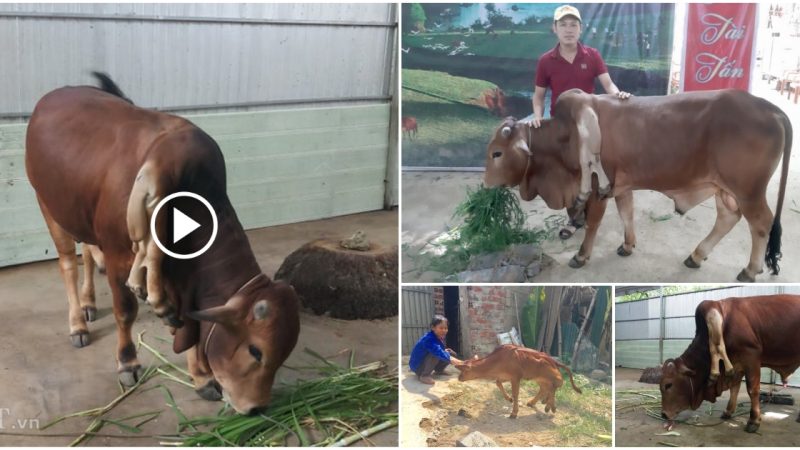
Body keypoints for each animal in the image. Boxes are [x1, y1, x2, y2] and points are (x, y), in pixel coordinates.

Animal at [26, 74, 300, 414]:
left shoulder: (182, 281)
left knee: (88, 254)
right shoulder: (118, 256)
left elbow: (187, 323)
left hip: (81, 215)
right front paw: (127, 362)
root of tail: (54, 95)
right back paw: (78, 323)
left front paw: (201, 377)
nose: (257, 408)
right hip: (49, 207)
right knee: (68, 265)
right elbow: (125, 311)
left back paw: (89, 303)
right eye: (256, 351)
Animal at [484, 88, 792, 282]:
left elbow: (593, 223)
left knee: (761, 224)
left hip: (749, 191)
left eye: (497, 153)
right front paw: (627, 245)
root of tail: (770, 108)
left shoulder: (598, 189)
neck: (566, 135)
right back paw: (696, 256)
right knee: (728, 217)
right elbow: (627, 213)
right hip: (725, 190)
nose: (486, 183)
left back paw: (750, 270)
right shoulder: (622, 186)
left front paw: (581, 256)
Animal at [640, 296, 800, 432]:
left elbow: (752, 390)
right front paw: (728, 412)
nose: (664, 414)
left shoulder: (751, 357)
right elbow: (735, 388)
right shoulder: (738, 365)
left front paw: (754, 421)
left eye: (668, 385)